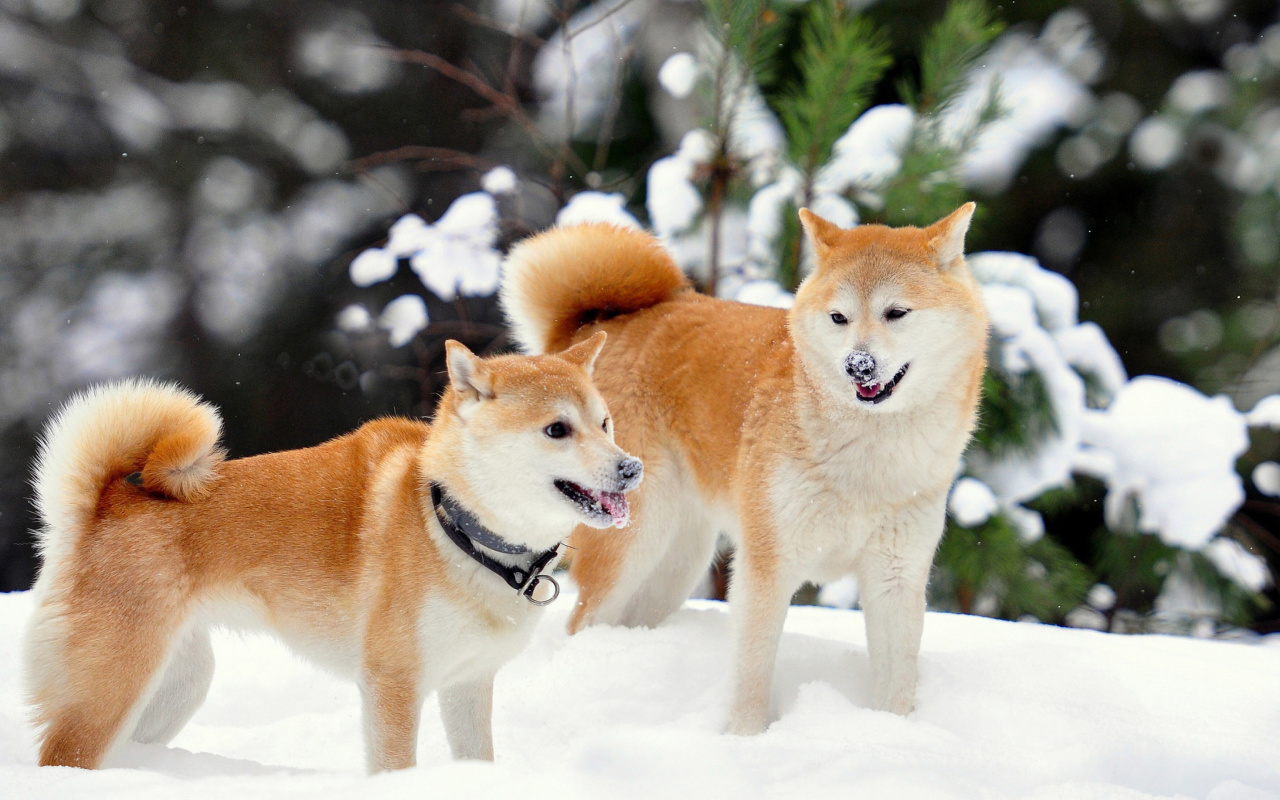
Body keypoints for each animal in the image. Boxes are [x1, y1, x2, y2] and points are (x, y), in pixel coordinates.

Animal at [20, 330, 640, 768]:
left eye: (606, 423)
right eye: (557, 429)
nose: (631, 467)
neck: (454, 527)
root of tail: (102, 506)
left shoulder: (467, 684)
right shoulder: (393, 683)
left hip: (175, 688)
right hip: (110, 693)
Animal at [499, 204, 988, 732]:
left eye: (896, 313)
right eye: (839, 317)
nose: (858, 365)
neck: (867, 460)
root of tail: (594, 328)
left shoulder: (896, 578)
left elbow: (897, 686)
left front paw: (893, 733)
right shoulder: (767, 567)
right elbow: (753, 674)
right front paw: (746, 738)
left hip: (677, 564)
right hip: (633, 547)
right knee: (580, 622)